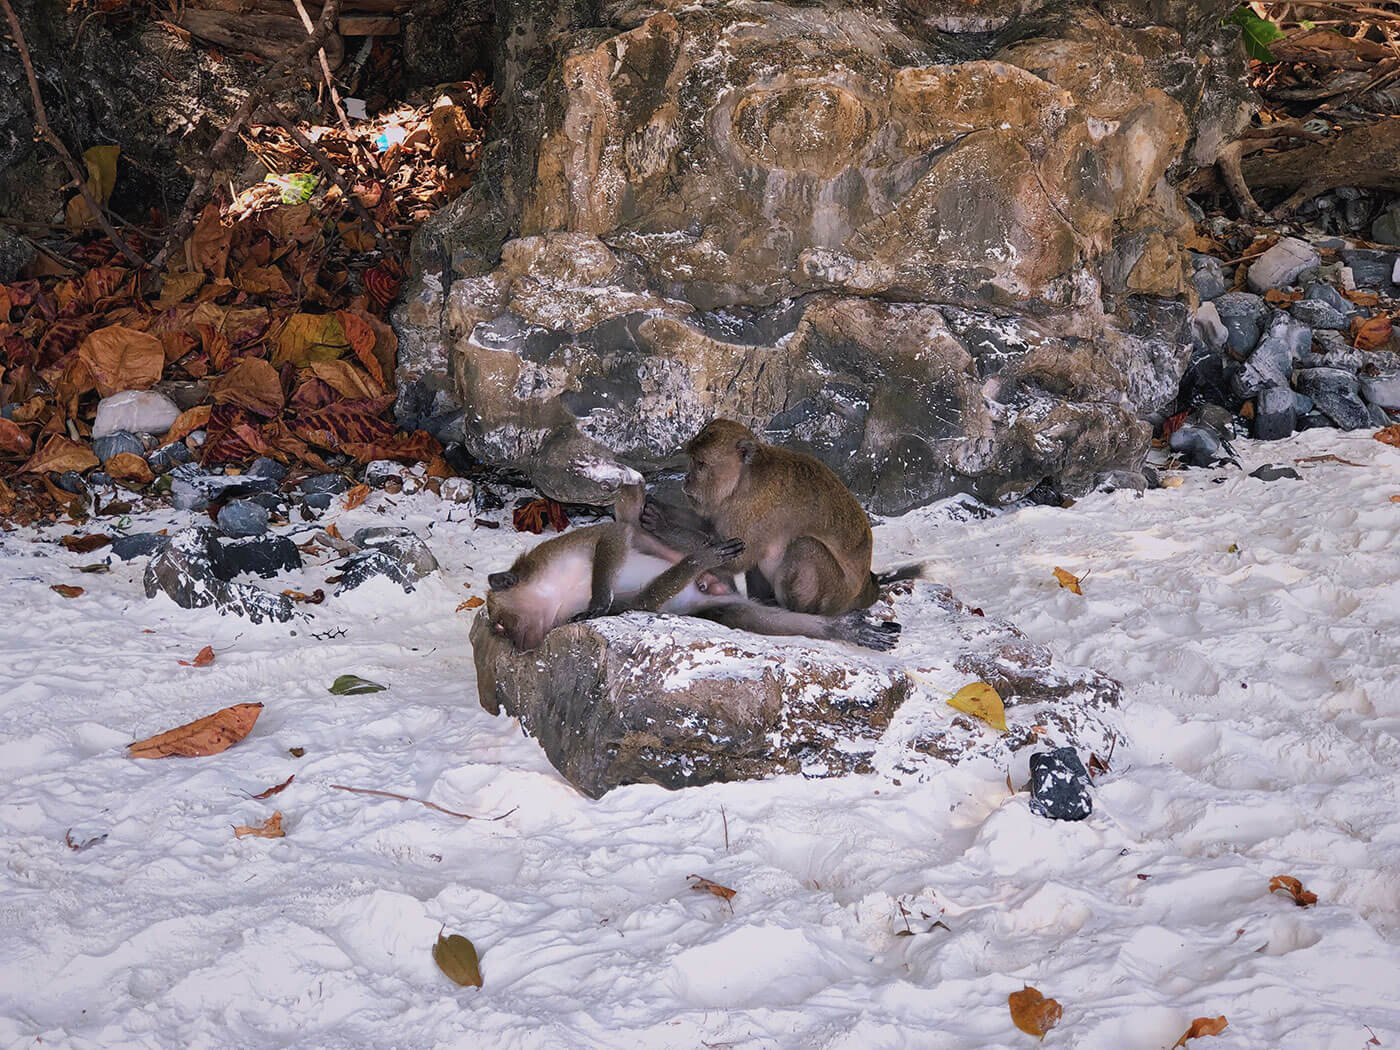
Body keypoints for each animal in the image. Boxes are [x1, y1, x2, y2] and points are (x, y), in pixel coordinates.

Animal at [487, 459, 901, 655]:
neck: (554, 589)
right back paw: (835, 629)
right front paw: (697, 562)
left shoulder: (561, 552)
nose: (521, 646)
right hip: (718, 603)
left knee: (633, 524)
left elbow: (612, 536)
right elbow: (638, 604)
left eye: (502, 625)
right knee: (749, 616)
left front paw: (598, 599)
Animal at [641, 420, 924, 616]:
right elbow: (711, 528)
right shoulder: (728, 506)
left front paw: (664, 527)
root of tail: (865, 587)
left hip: (835, 596)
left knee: (804, 547)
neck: (744, 479)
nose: (687, 480)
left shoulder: (755, 507)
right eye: (692, 461)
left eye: (700, 465)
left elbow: (737, 558)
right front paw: (660, 508)